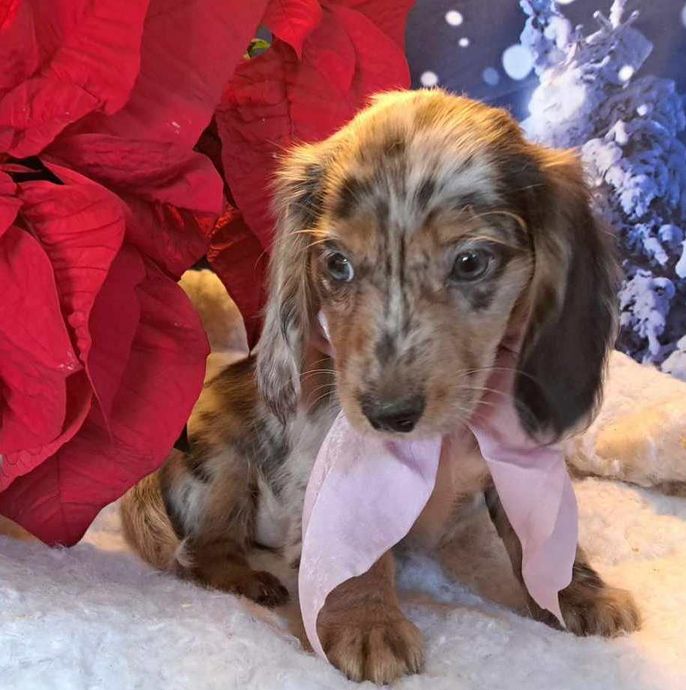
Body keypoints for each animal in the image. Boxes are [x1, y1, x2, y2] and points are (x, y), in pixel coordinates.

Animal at [121, 90, 640, 684]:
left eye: (470, 262)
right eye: (337, 264)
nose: (388, 414)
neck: (446, 440)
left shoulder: (519, 462)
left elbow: (540, 533)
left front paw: (579, 593)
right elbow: (352, 550)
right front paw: (367, 625)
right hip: (222, 467)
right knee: (206, 548)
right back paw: (248, 579)